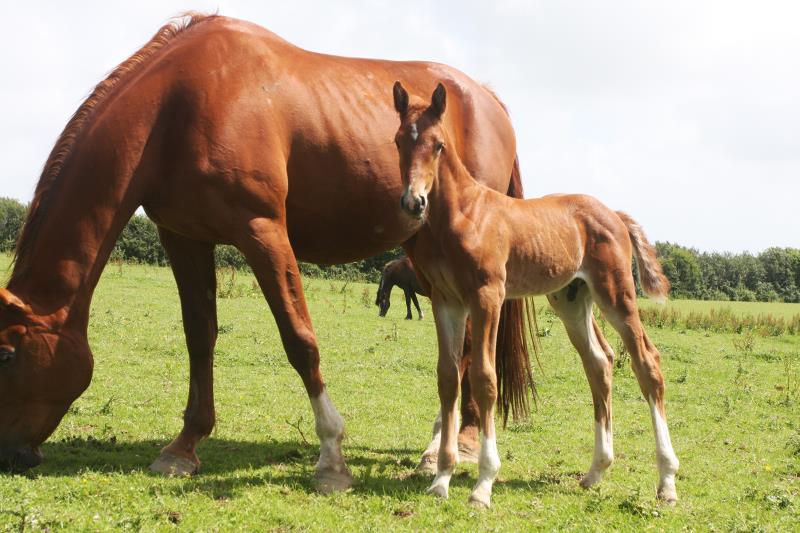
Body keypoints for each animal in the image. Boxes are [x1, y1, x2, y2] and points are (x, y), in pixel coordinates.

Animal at [390, 83, 680, 508]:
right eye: (398, 141)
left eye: (439, 145)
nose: (414, 202)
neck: (463, 214)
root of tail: (614, 213)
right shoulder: (446, 301)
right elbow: (447, 377)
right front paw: (441, 478)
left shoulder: (488, 296)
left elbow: (484, 377)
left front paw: (483, 484)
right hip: (571, 299)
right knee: (600, 363)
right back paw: (595, 472)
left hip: (615, 293)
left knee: (647, 363)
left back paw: (667, 482)